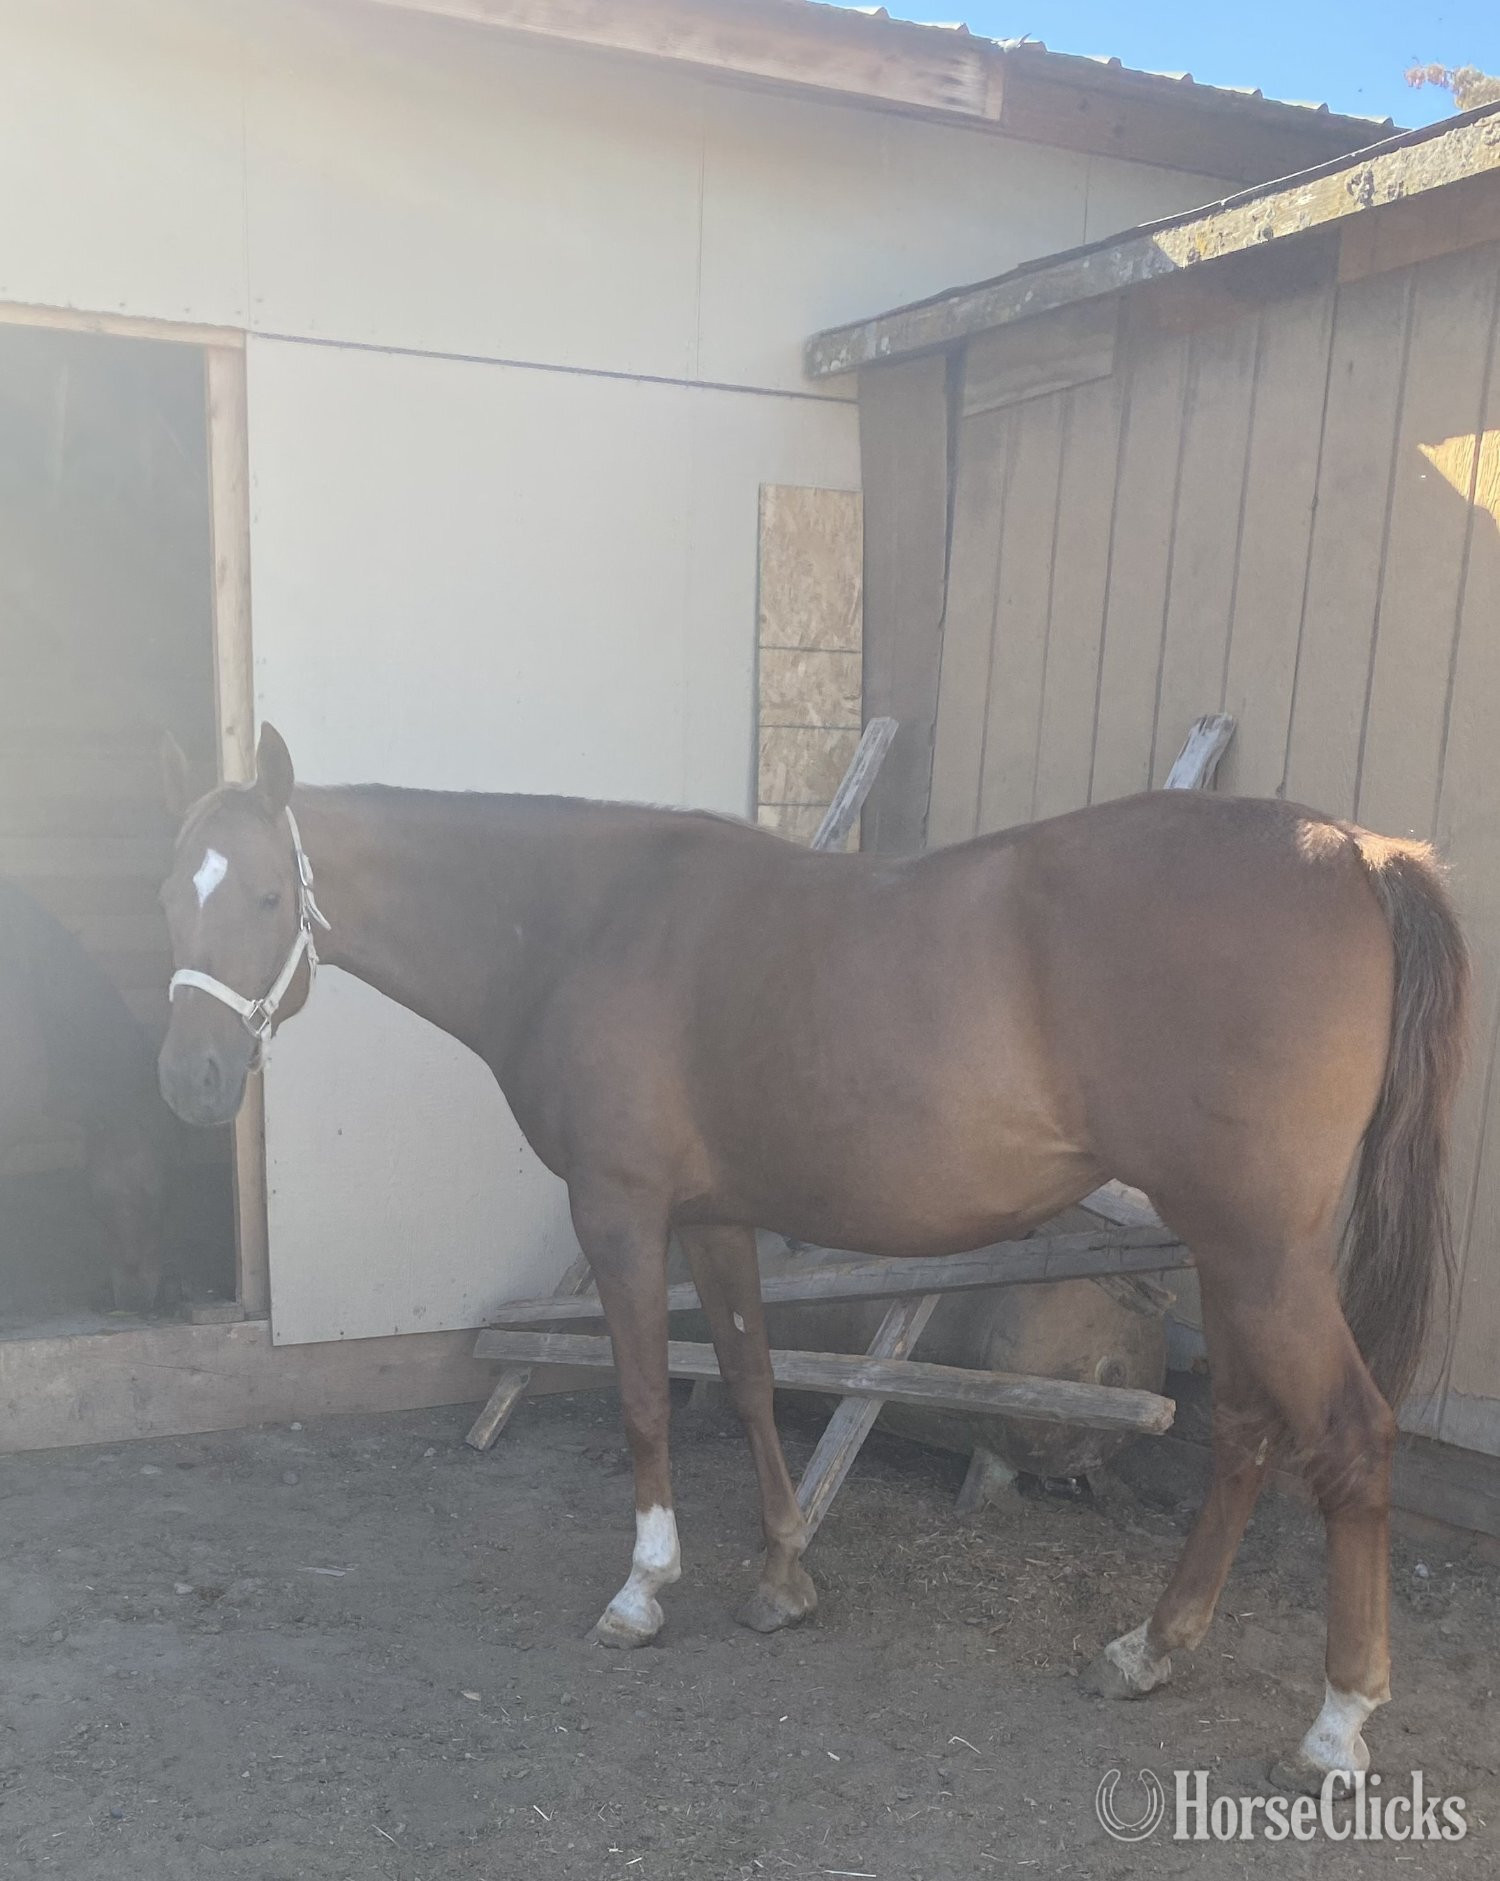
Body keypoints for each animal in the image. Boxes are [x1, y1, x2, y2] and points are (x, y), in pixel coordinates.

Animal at [156, 723, 1467, 1788]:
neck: (588, 920)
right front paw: (783, 1576)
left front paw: (644, 1592)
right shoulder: (718, 1216)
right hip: (1234, 1251)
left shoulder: (620, 1211)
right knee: (1244, 1430)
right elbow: (746, 1377)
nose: (195, 1084)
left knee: (1350, 1435)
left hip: (1260, 1253)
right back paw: (1148, 1650)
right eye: (172, 890)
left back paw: (1336, 1726)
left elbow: (646, 1395)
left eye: (267, 895)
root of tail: (1353, 849)